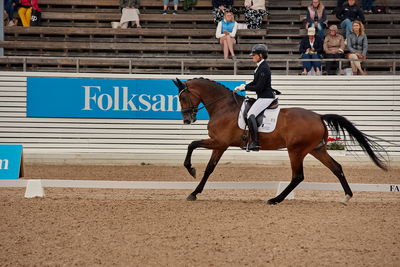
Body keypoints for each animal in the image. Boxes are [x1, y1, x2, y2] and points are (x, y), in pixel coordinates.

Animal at [173, 77, 388, 205]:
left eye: (182, 98)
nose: (187, 120)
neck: (223, 107)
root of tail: (318, 116)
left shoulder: (219, 142)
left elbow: (192, 145)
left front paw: (191, 171)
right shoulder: (219, 145)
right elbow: (209, 168)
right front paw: (194, 192)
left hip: (296, 150)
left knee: (298, 176)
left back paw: (275, 199)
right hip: (316, 150)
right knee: (336, 168)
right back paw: (347, 196)